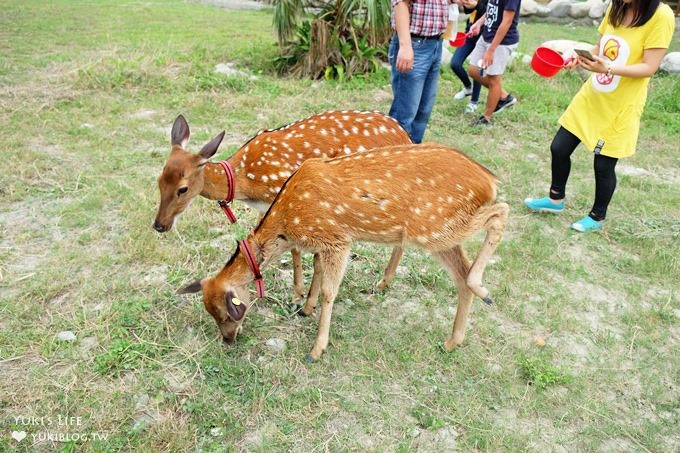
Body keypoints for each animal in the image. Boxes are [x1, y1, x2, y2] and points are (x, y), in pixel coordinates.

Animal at [154, 111, 412, 302]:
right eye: (158, 180)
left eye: (183, 189)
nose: (159, 225)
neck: (244, 180)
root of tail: (406, 136)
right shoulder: (264, 206)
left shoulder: (281, 193)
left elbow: (295, 248)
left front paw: (298, 294)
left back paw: (382, 282)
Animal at [178, 143, 508, 362]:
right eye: (210, 312)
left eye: (226, 313)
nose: (227, 340)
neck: (287, 220)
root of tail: (490, 181)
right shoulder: (323, 243)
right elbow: (317, 270)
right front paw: (305, 308)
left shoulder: (338, 239)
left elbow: (329, 291)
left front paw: (316, 349)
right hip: (441, 232)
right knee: (461, 274)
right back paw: (453, 340)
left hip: (432, 227)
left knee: (500, 213)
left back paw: (484, 290)